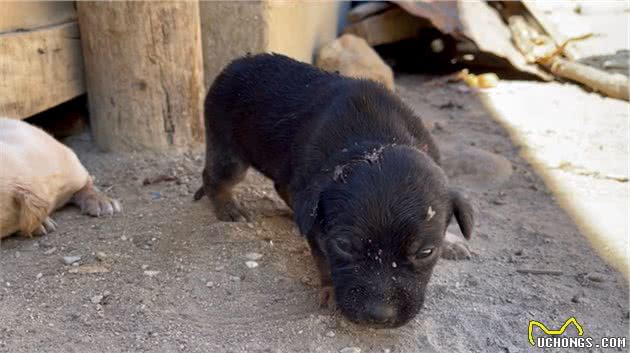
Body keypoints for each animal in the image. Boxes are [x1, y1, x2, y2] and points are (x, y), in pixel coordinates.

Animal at [195, 53, 476, 328]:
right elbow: (323, 258)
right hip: (229, 151)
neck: (377, 139)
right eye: (344, 245)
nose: (379, 316)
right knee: (215, 177)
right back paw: (228, 207)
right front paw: (330, 290)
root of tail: (236, 63)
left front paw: (451, 243)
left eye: (426, 252)